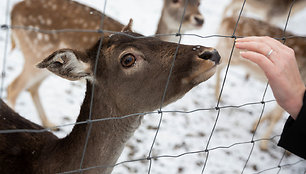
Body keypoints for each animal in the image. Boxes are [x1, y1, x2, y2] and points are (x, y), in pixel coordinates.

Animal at [215, 16, 306, 151]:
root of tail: (226, 19)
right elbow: (277, 116)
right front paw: (263, 144)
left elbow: (276, 112)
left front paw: (254, 126)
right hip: (230, 53)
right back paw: (217, 95)